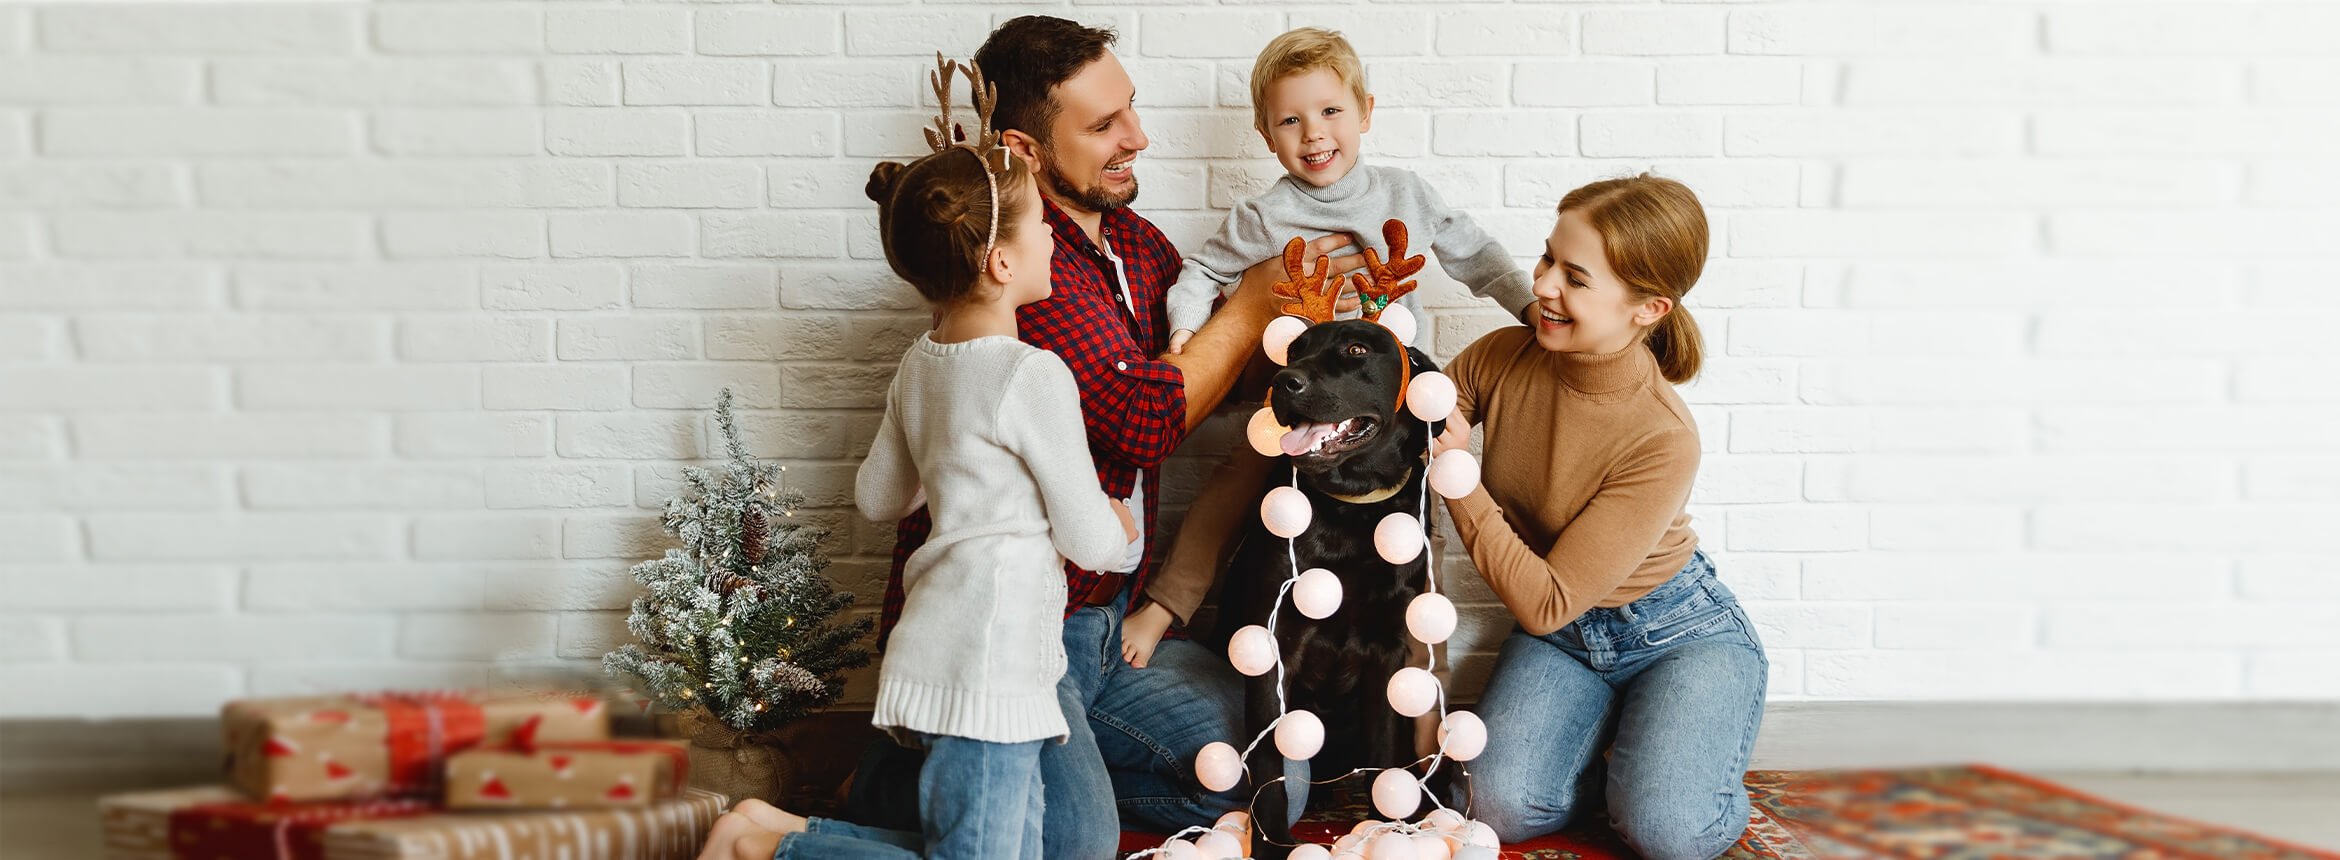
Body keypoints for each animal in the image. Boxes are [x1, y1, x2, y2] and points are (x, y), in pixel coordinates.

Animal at [1226, 320, 1441, 855]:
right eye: (1293, 351)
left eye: (1357, 349)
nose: (1283, 382)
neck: (1353, 511)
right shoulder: (1274, 645)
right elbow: (1270, 764)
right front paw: (1271, 843)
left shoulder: (1388, 649)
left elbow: (1383, 749)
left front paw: (1387, 827)